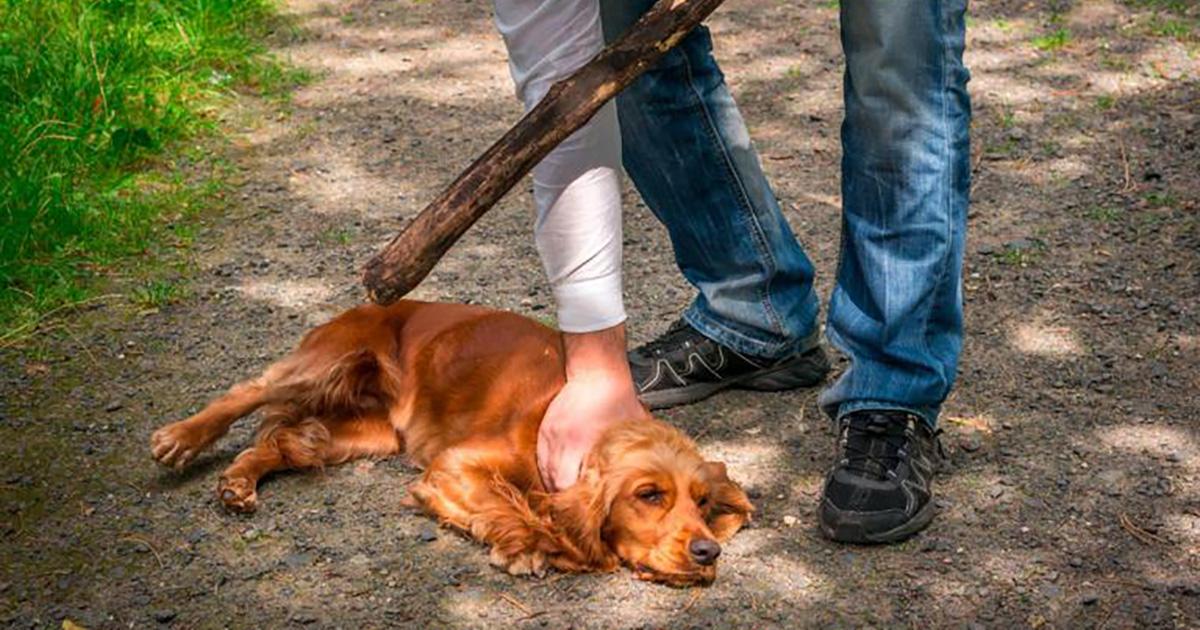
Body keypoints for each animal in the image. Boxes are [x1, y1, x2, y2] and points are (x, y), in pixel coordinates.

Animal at [150, 301, 748, 585]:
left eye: (702, 503)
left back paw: (237, 482)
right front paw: (530, 545)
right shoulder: (453, 465)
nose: (708, 552)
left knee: (286, 440)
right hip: (327, 361)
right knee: (249, 391)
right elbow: (508, 504)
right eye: (649, 495)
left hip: (367, 432)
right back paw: (179, 437)